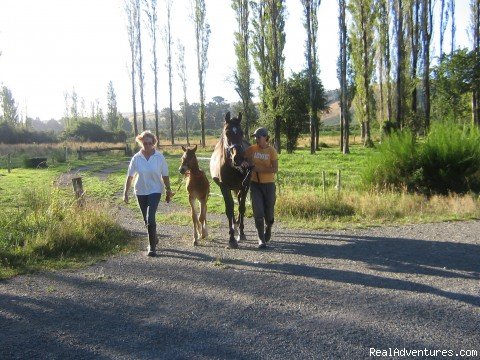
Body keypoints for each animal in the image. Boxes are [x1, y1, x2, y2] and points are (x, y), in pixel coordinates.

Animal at [210, 112, 251, 248]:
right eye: (227, 133)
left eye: (242, 132)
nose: (238, 158)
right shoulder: (224, 187)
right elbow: (229, 209)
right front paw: (232, 238)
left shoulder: (245, 186)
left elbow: (242, 208)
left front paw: (241, 233)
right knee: (232, 205)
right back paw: (234, 225)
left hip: (239, 188)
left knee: (237, 202)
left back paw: (237, 225)